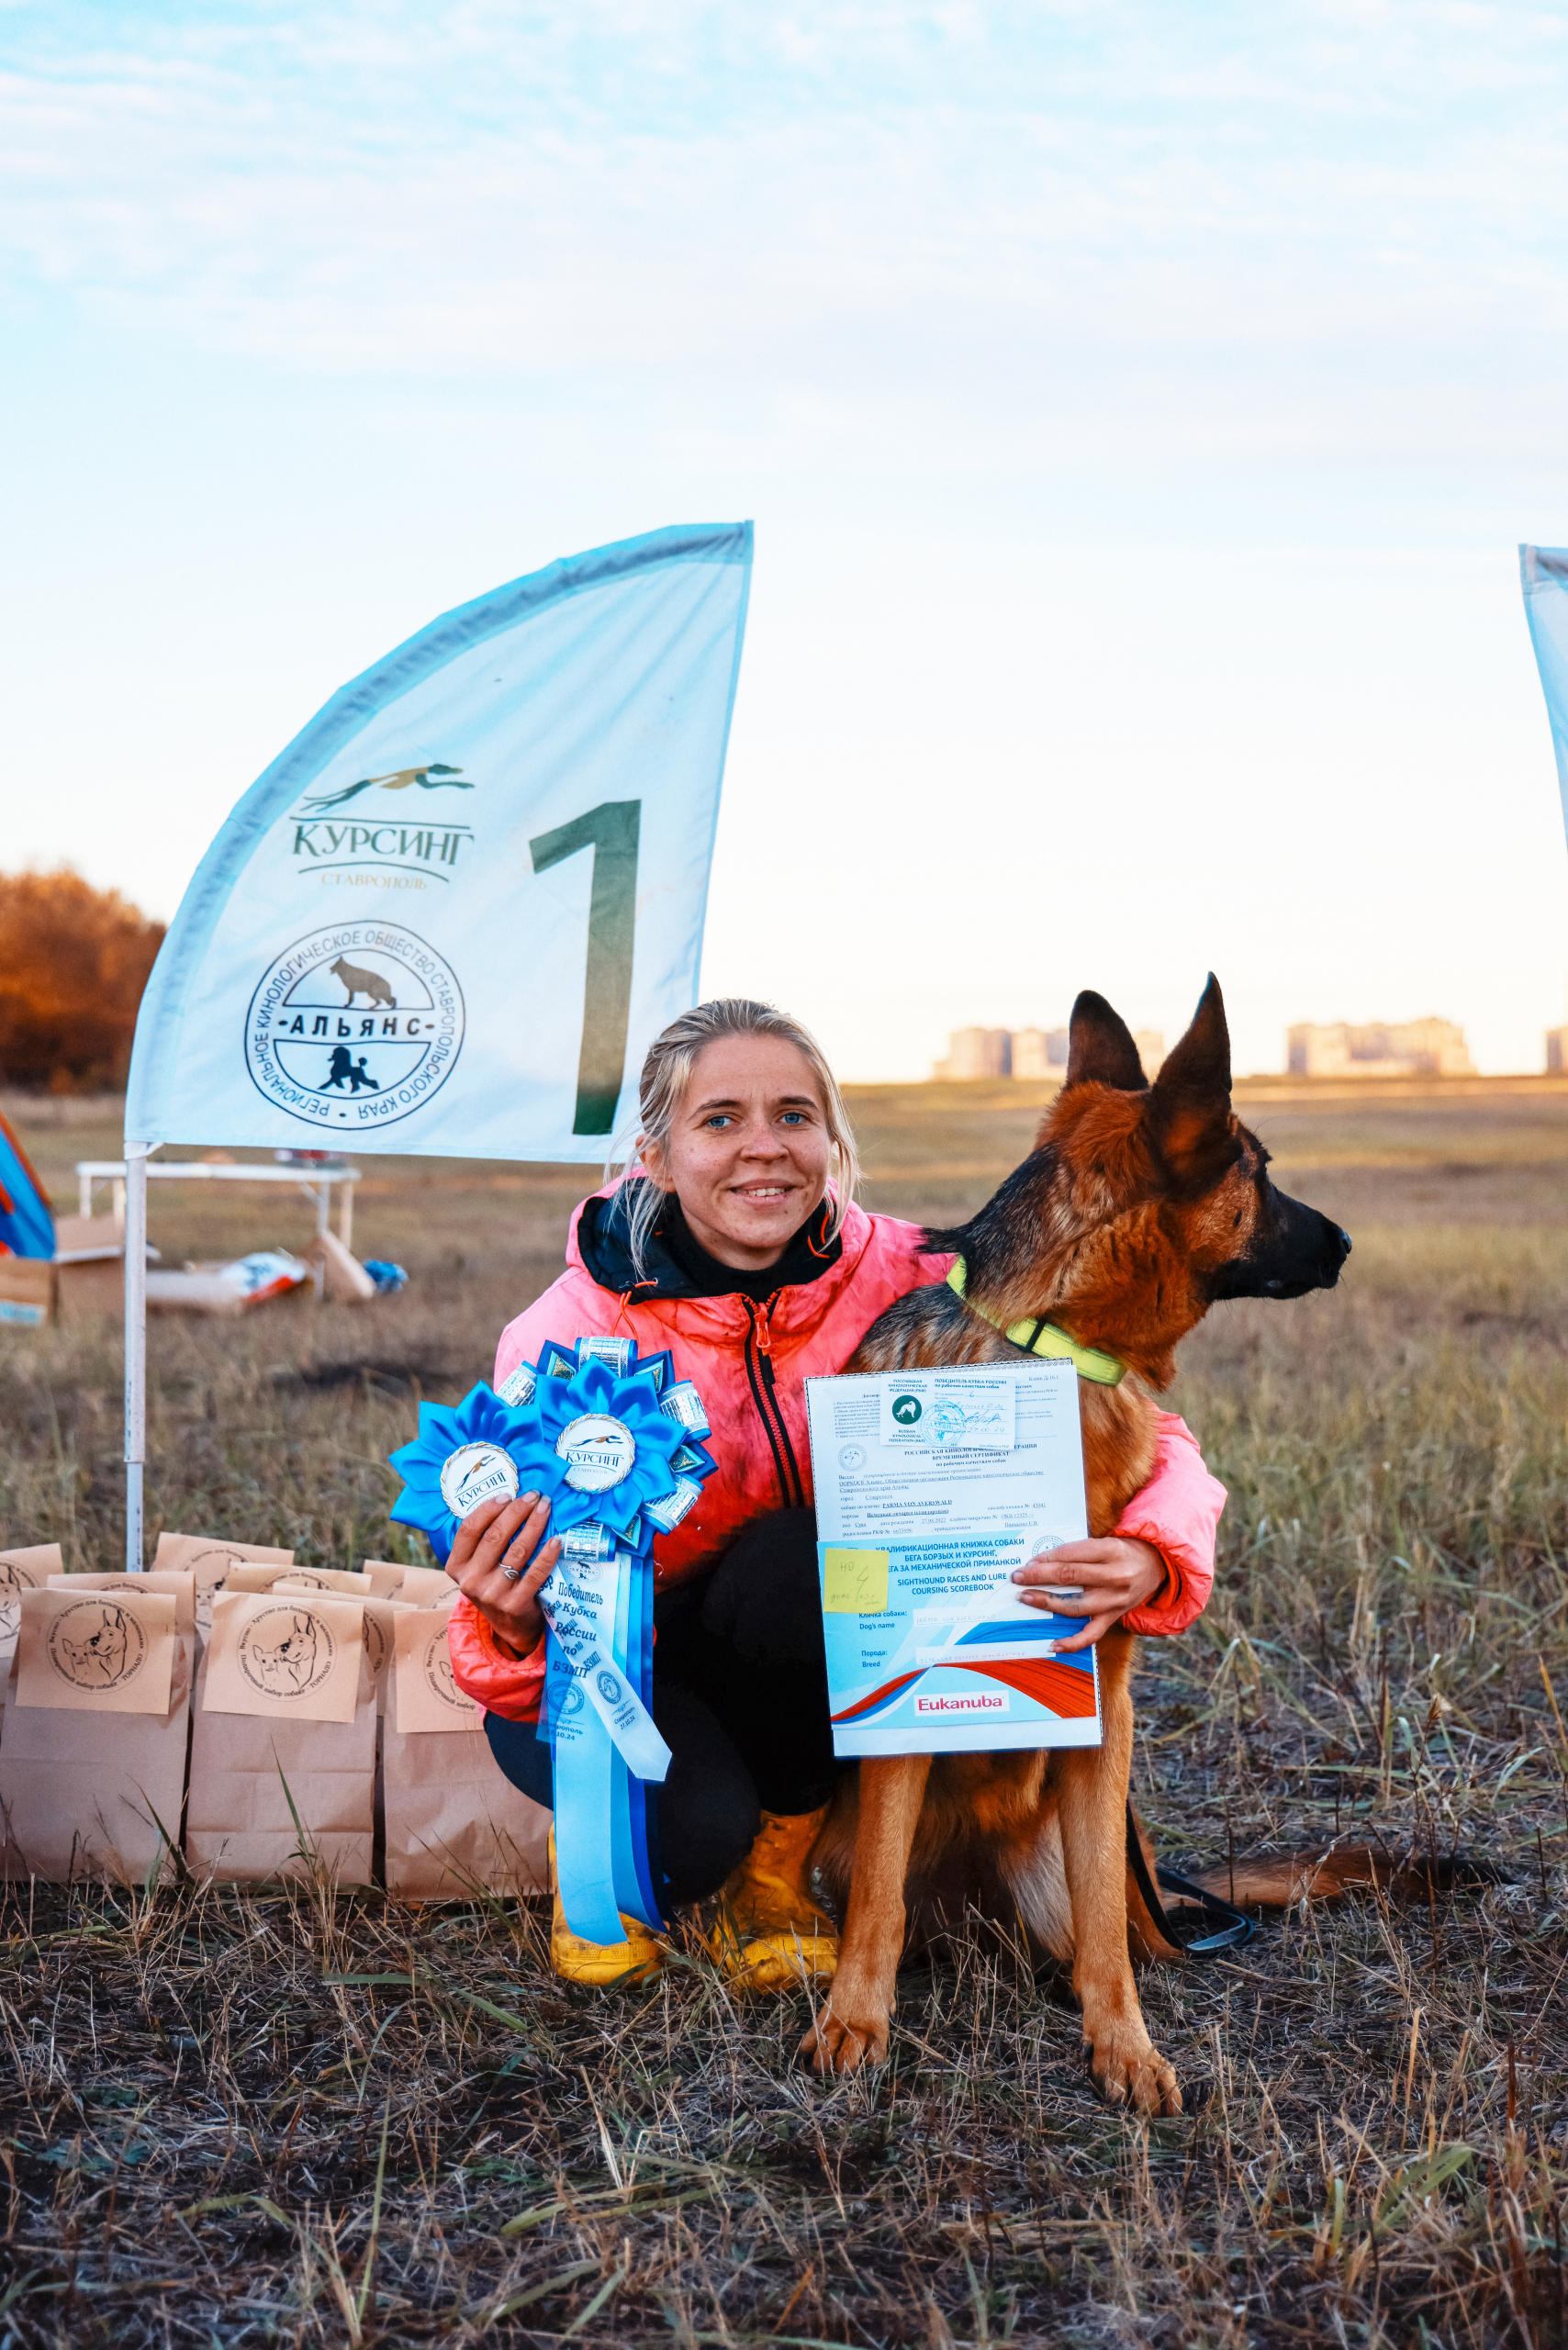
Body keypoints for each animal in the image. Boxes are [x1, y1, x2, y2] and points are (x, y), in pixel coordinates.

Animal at [803, 972, 1353, 2115]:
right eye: (1261, 1170)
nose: (1344, 1243)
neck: (1046, 1340)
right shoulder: (902, 1717)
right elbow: (875, 1897)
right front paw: (855, 2020)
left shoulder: (1107, 1708)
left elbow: (1104, 1911)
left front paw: (1124, 2046)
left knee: (1117, 1924)